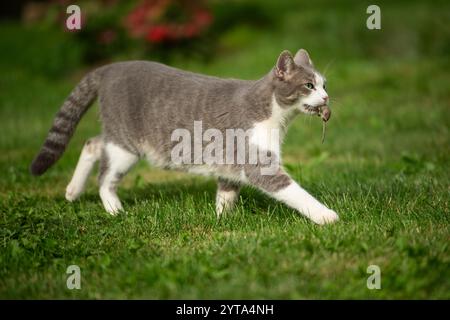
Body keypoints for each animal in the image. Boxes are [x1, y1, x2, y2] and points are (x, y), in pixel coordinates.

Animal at [29, 49, 340, 225]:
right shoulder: (258, 162)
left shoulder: (230, 163)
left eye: (324, 85)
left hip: (116, 137)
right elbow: (294, 192)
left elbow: (226, 194)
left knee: (92, 143)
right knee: (105, 177)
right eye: (309, 85)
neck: (273, 115)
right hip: (125, 145)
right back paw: (115, 210)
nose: (327, 97)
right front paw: (327, 216)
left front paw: (223, 221)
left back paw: (72, 190)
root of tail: (110, 68)